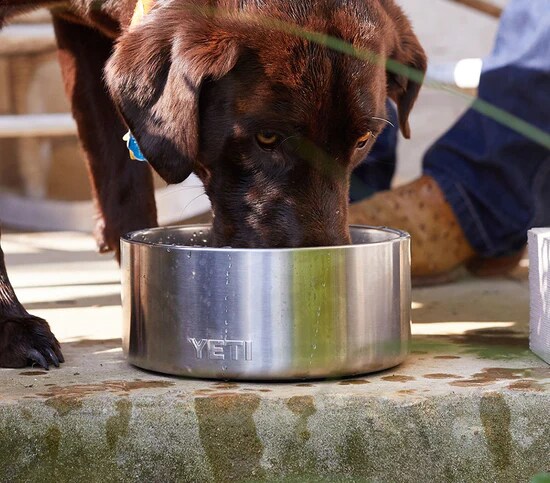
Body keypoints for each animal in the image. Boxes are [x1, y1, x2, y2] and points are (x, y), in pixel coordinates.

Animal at [0, 0, 426, 370]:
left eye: (362, 140)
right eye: (267, 137)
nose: (318, 272)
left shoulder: (85, 42)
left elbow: (125, 187)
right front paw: (12, 327)